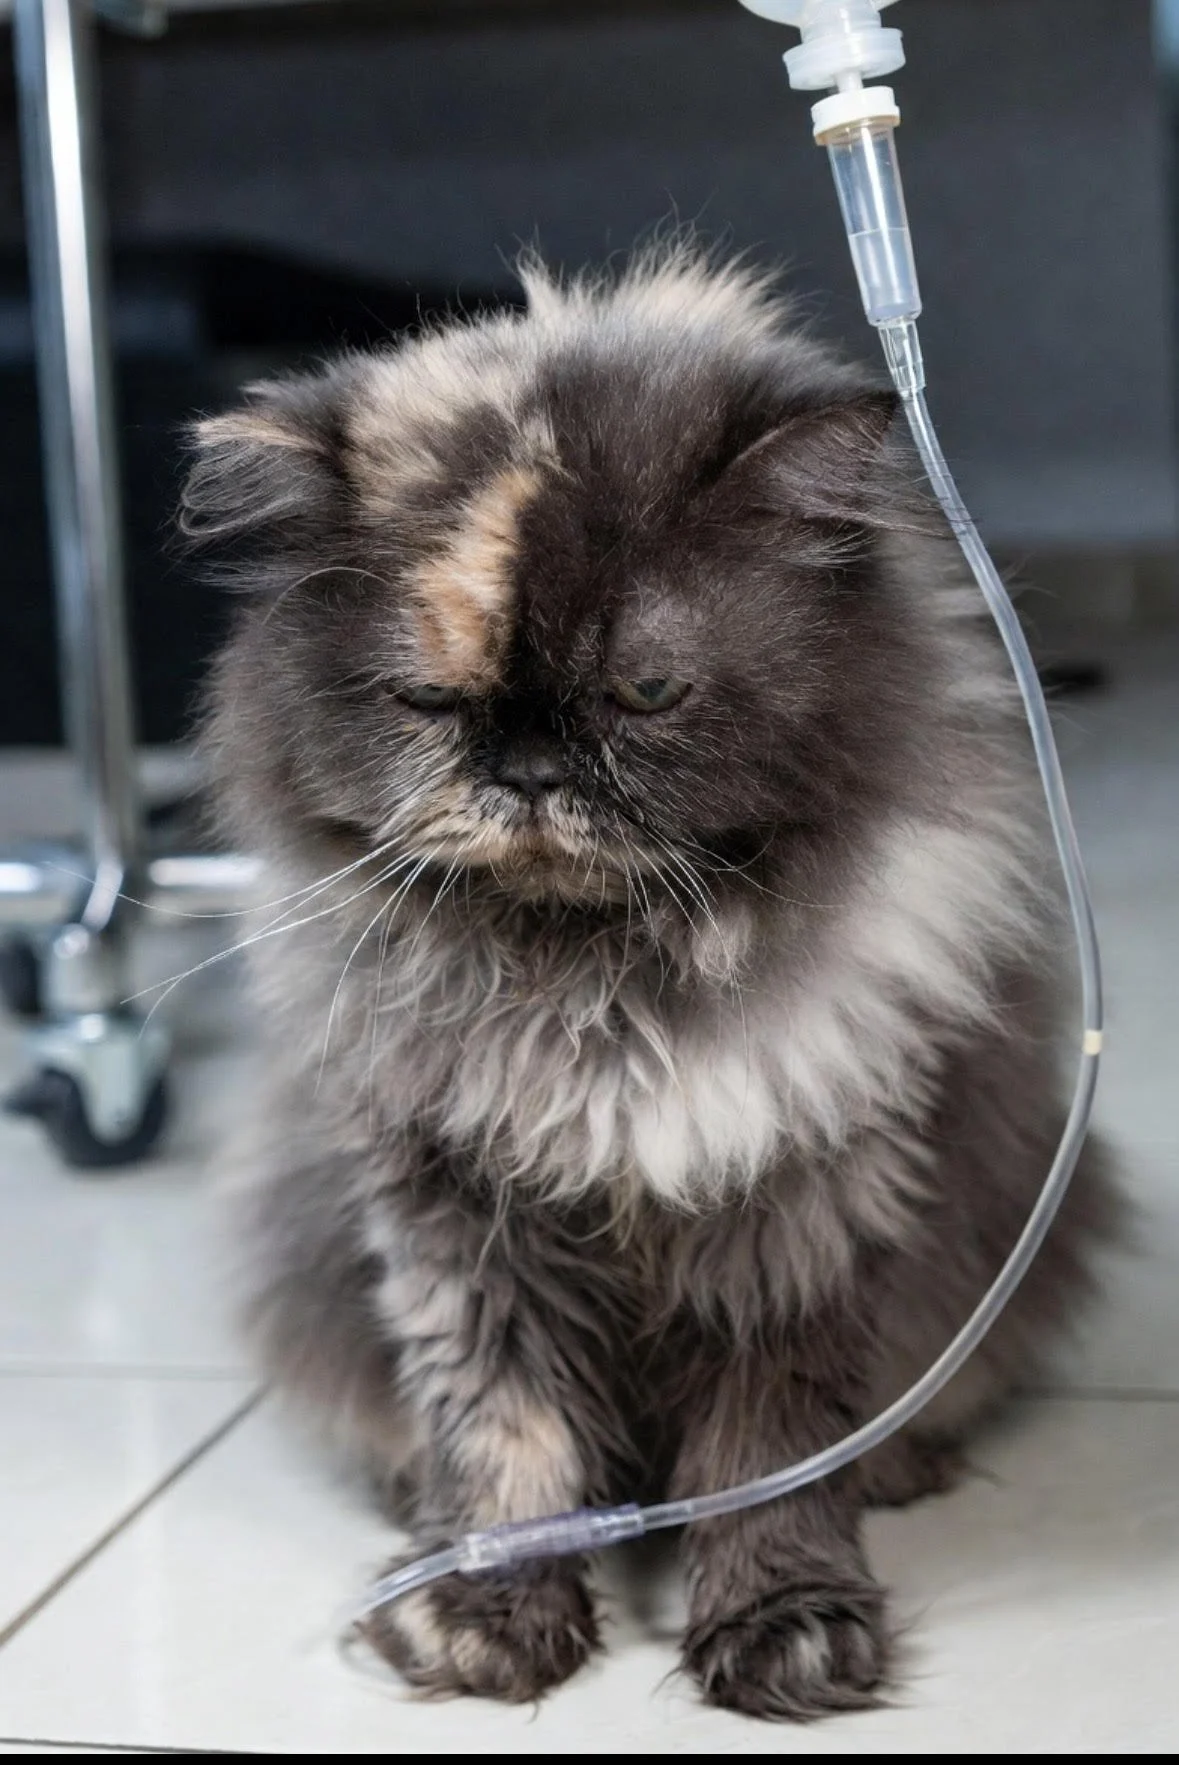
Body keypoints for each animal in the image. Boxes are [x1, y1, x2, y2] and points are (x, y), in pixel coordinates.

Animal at [183, 245, 1117, 1721]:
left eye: (646, 693)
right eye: (429, 702)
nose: (526, 770)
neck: (599, 996)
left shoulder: (794, 1206)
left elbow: (763, 1453)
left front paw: (782, 1626)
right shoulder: (457, 1212)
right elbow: (502, 1431)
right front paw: (485, 1613)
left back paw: (898, 1465)